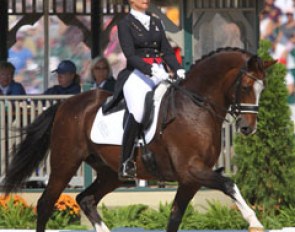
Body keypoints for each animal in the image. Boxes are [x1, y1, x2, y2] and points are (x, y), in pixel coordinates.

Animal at [1, 47, 276, 232]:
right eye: (246, 86)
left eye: (263, 88)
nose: (247, 128)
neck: (196, 107)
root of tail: (66, 104)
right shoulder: (192, 169)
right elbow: (229, 184)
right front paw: (254, 220)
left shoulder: (190, 180)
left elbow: (174, 218)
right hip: (65, 164)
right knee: (46, 204)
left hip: (110, 173)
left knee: (85, 199)